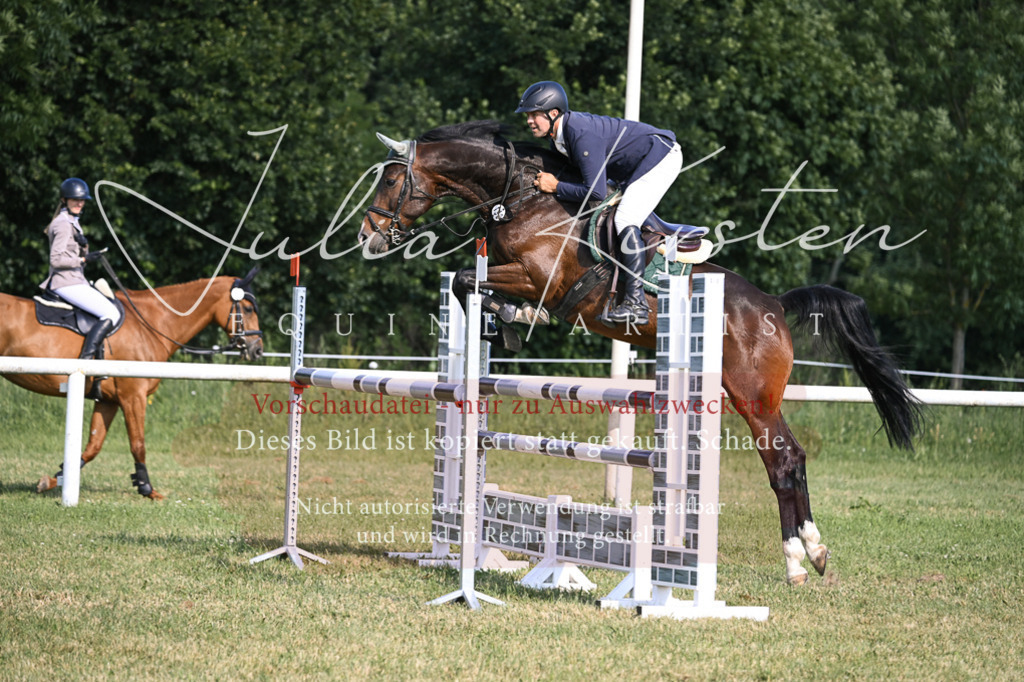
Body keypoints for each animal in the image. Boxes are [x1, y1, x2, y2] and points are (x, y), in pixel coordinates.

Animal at [0, 269, 264, 500]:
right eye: (248, 308)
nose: (257, 350)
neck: (151, 325)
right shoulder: (133, 396)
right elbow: (138, 444)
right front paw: (147, 489)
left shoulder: (108, 401)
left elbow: (93, 446)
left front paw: (53, 480)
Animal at [357, 120, 924, 586]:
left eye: (391, 181)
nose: (367, 238)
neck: (524, 200)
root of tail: (774, 307)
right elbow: (465, 282)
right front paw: (507, 323)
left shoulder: (540, 278)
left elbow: (464, 278)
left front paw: (516, 318)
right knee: (795, 458)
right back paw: (813, 552)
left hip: (754, 396)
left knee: (783, 462)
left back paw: (797, 560)